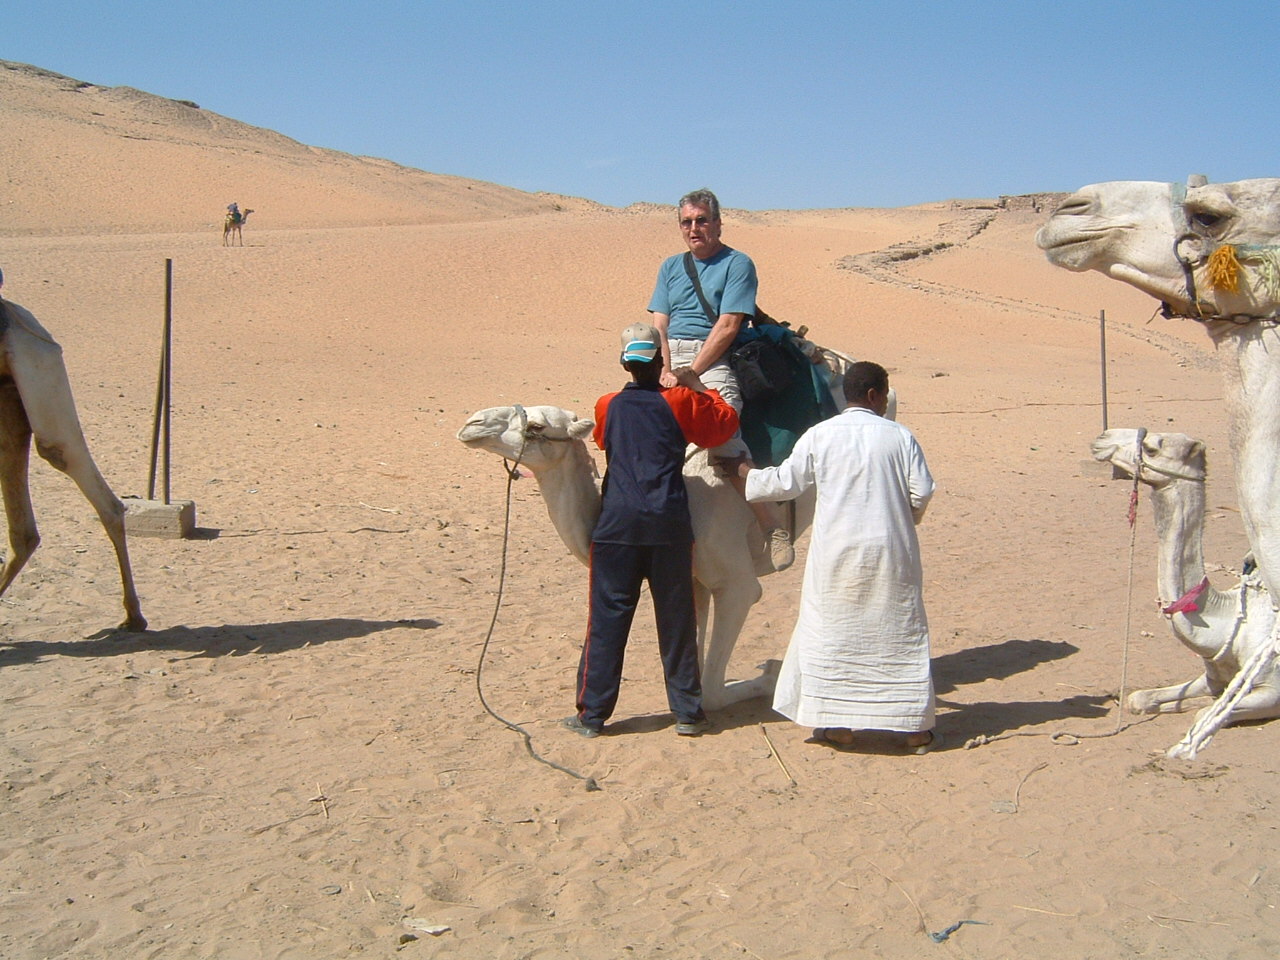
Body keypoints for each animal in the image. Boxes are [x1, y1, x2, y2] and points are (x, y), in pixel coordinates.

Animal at [1091, 428, 1278, 741]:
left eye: (1152, 449)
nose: (1102, 438)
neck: (1230, 622)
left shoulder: (1272, 690)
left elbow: (1206, 715)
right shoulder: (1213, 675)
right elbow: (1139, 699)